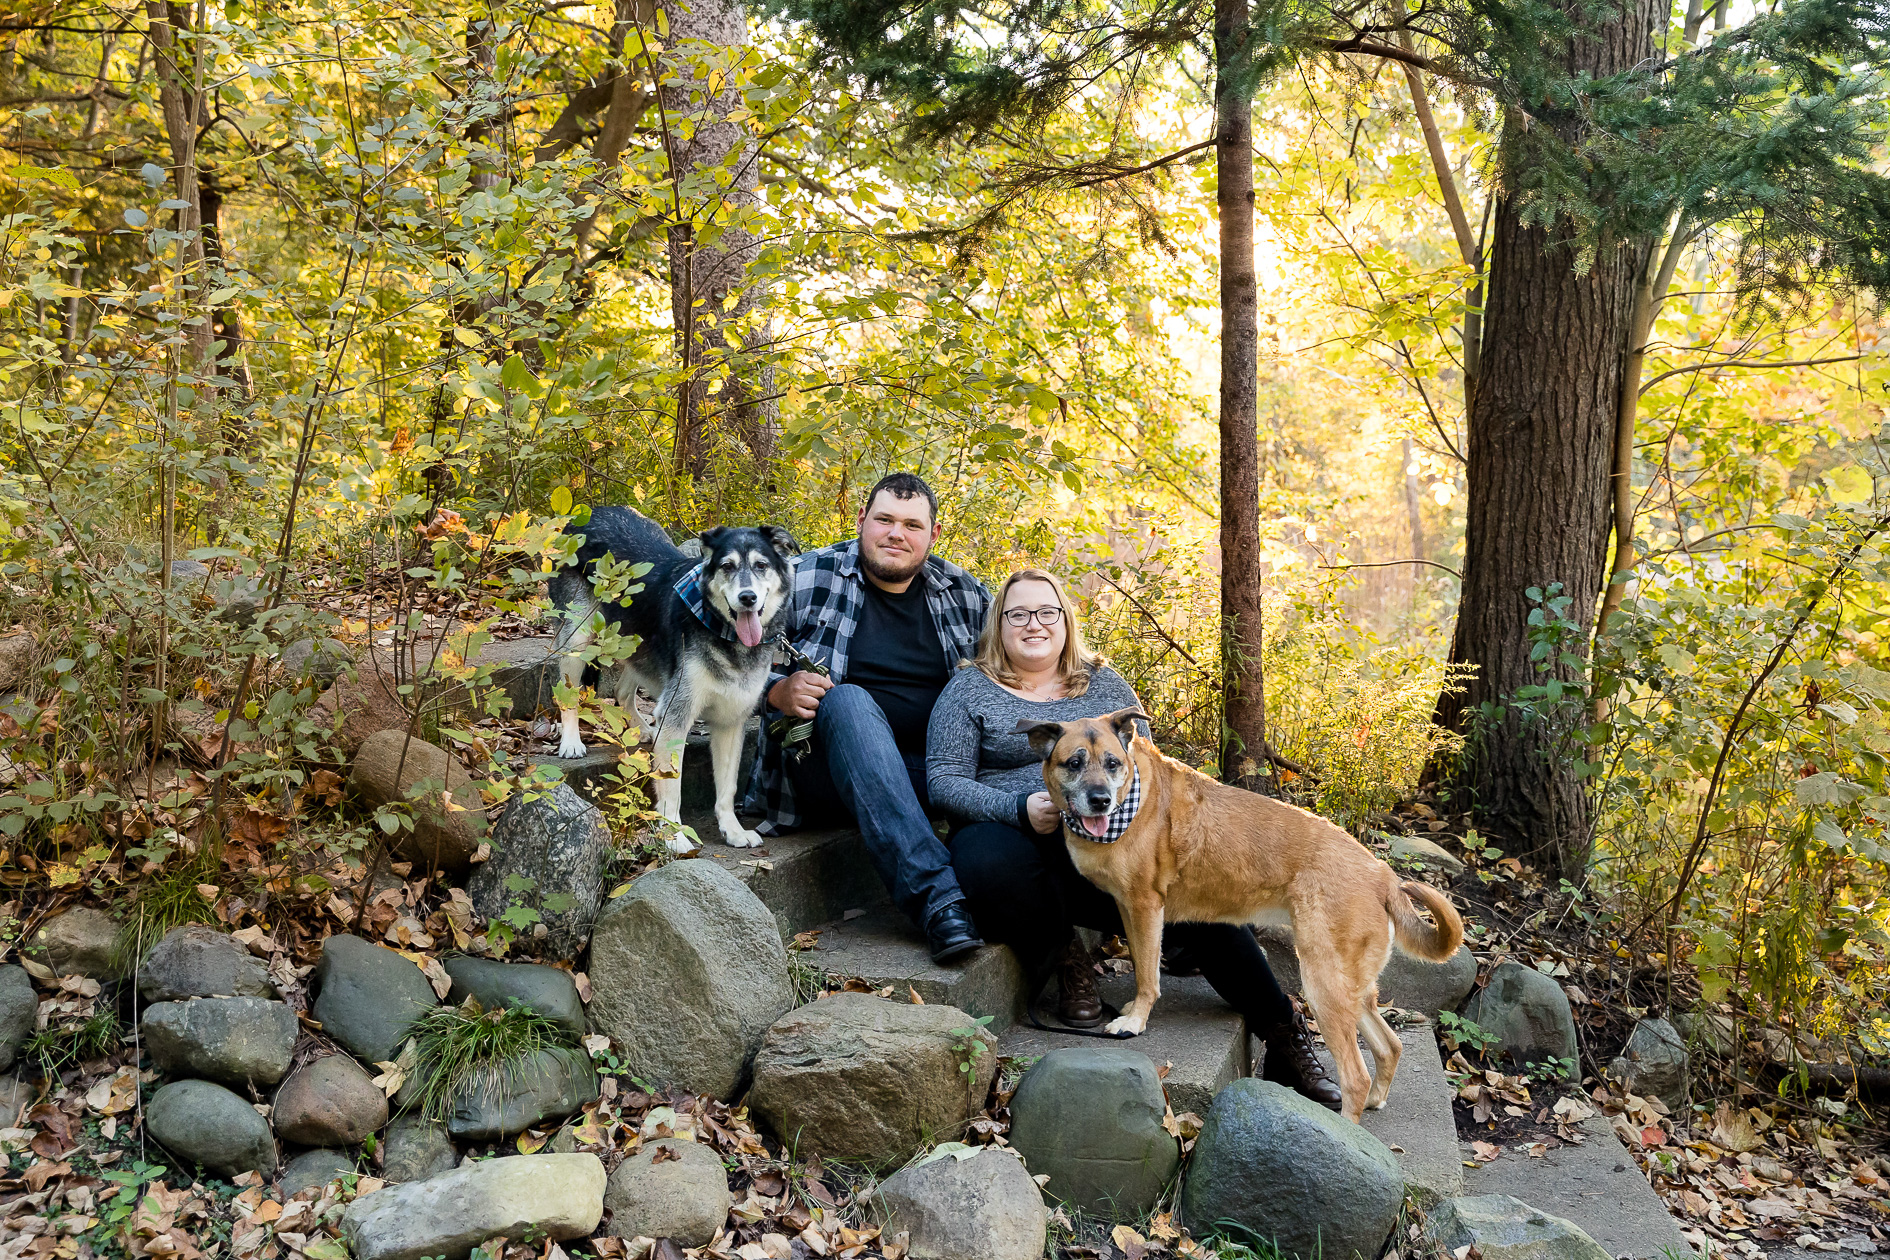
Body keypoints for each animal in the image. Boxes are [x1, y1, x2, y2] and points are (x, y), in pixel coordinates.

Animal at [551, 506, 805, 853]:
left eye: (761, 566)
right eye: (727, 566)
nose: (748, 598)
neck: (722, 630)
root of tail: (589, 512)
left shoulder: (730, 720)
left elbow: (727, 788)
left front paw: (733, 830)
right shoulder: (677, 718)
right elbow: (672, 787)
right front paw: (676, 837)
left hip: (637, 644)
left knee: (622, 690)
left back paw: (643, 728)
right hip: (578, 639)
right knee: (568, 693)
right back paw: (572, 742)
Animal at [1028, 710, 1466, 1125]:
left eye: (1112, 763)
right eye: (1074, 763)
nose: (1100, 800)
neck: (1135, 800)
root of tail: (1382, 874)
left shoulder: (1144, 907)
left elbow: (1147, 977)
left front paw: (1135, 1021)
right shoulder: (1128, 909)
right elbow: (1141, 964)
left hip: (1322, 983)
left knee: (1355, 1076)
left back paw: (1347, 1129)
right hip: (1349, 987)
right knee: (1390, 1046)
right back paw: (1375, 1100)